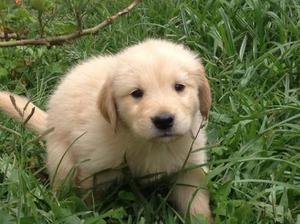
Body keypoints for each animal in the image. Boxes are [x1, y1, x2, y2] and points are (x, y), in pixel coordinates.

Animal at [0, 39, 211, 222]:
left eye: (179, 87)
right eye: (136, 93)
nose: (164, 120)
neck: (149, 143)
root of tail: (49, 122)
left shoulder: (190, 167)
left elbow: (197, 204)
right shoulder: (93, 168)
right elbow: (88, 201)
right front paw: (87, 216)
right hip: (63, 160)